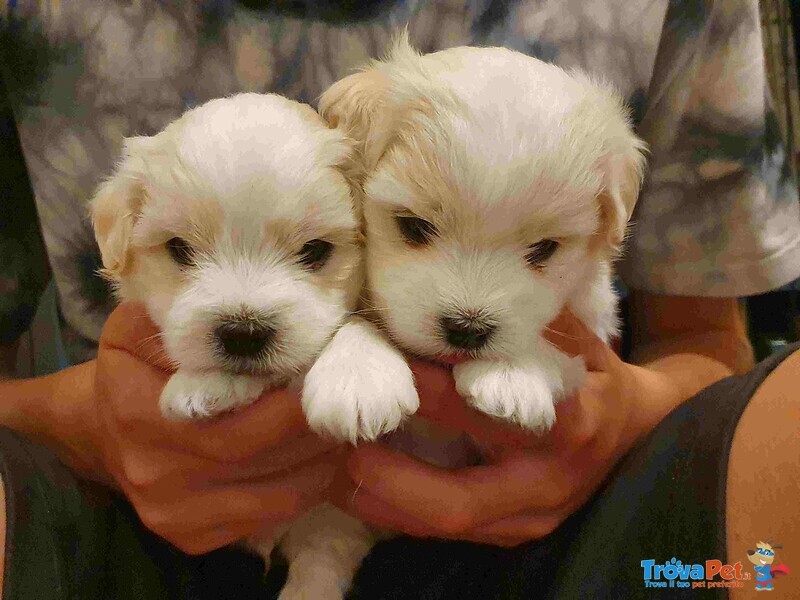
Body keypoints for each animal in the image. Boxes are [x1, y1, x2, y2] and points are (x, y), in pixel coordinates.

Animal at [91, 92, 412, 596]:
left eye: (315, 251)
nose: (243, 333)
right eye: (179, 249)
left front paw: (359, 379)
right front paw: (202, 384)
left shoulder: (335, 522)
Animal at [322, 35, 648, 434]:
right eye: (414, 226)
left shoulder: (593, 315)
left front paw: (512, 375)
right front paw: (359, 373)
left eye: (544, 248)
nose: (467, 328)